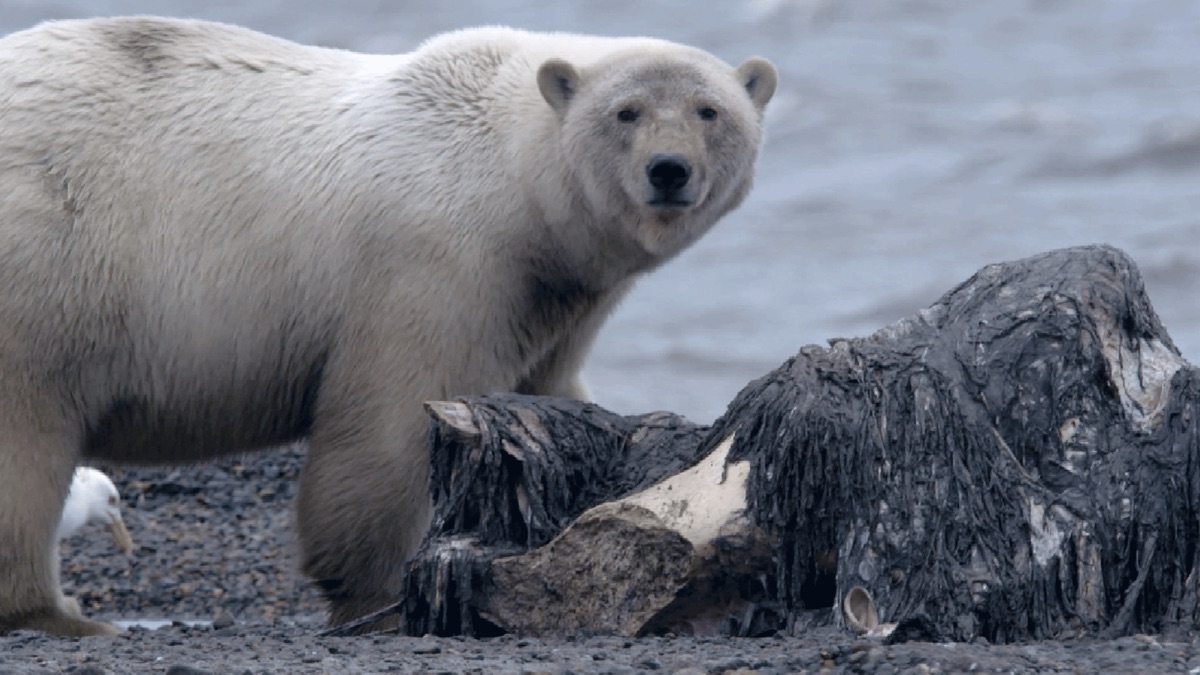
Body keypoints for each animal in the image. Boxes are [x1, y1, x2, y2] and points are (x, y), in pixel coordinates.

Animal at [0, 17, 777, 634]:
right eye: (627, 111)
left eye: (709, 110)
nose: (669, 171)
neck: (511, 174)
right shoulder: (435, 260)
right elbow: (392, 423)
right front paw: (383, 596)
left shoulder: (552, 299)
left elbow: (555, 392)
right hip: (50, 258)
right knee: (26, 440)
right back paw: (60, 614)